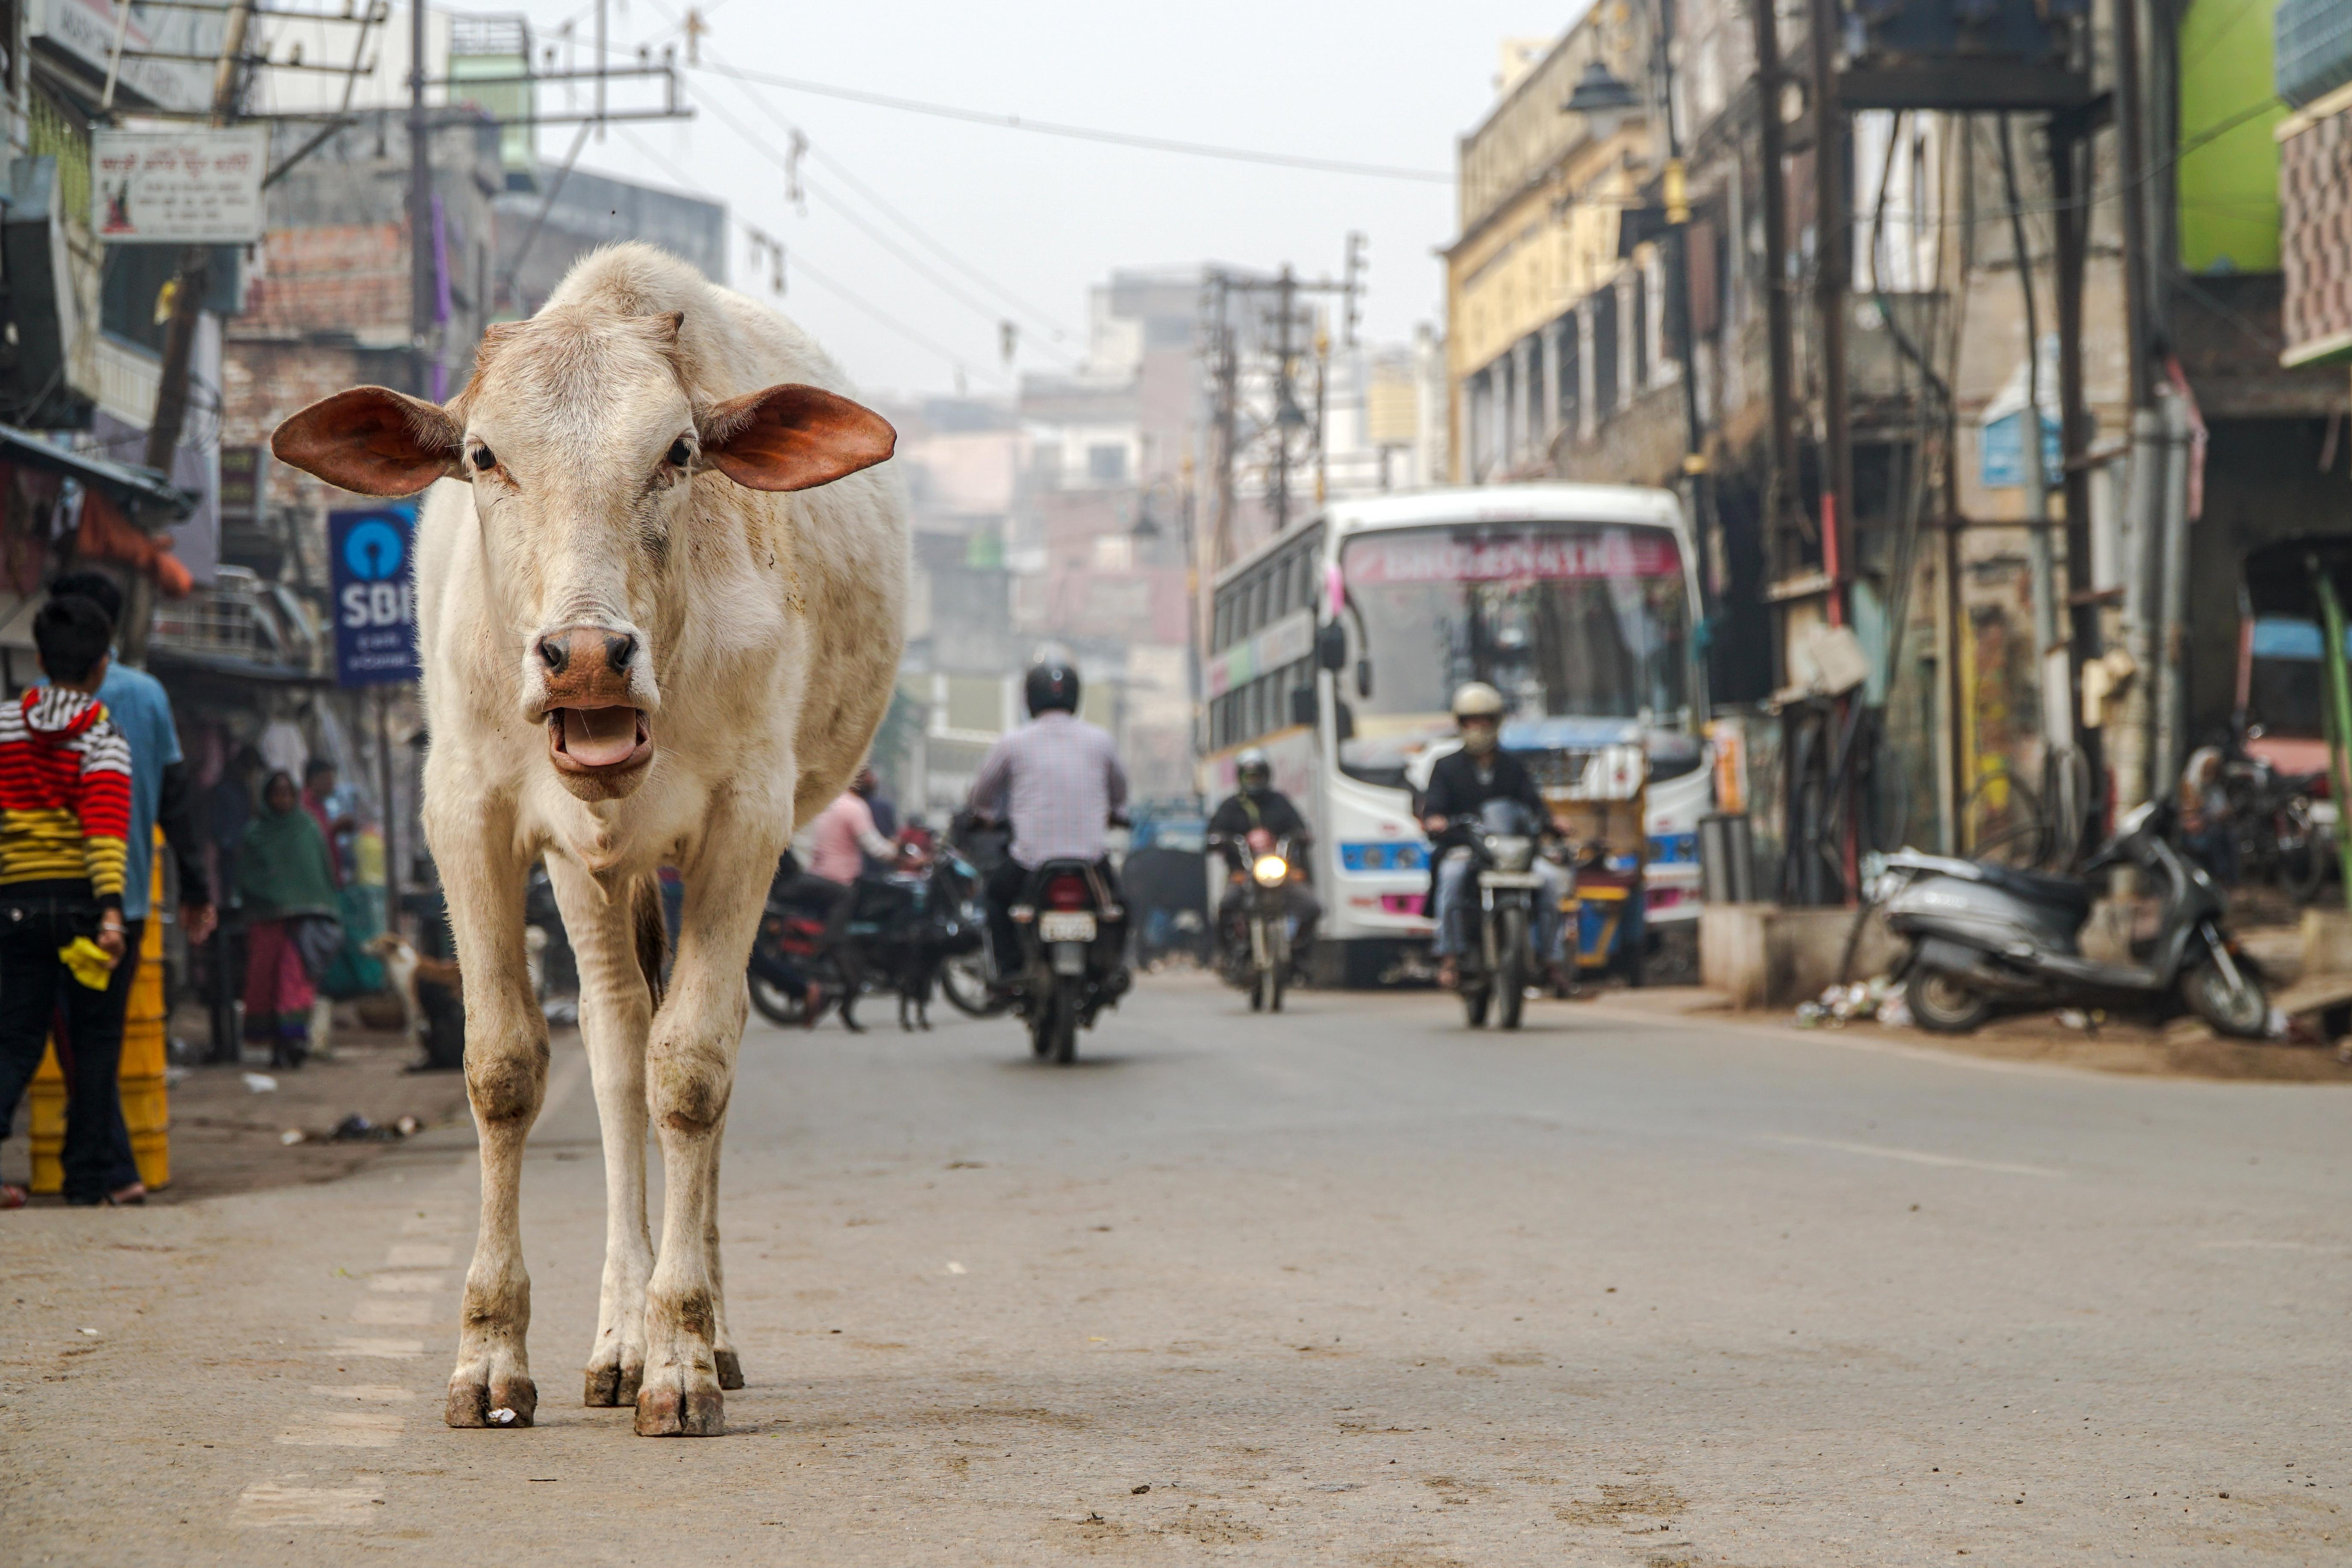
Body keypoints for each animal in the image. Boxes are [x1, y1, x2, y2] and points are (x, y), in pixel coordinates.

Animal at [270, 242, 903, 1439]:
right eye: (482, 456)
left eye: (680, 453)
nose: (588, 658)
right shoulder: (464, 814)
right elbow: (505, 1067)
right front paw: (490, 1358)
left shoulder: (747, 821)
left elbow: (693, 1073)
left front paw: (684, 1358)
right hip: (585, 873)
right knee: (613, 1049)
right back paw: (616, 1336)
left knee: (692, 1048)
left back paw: (695, 1331)